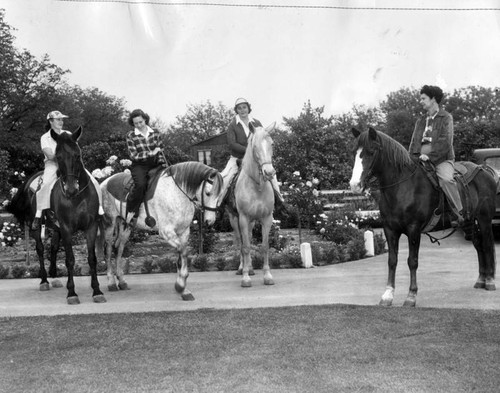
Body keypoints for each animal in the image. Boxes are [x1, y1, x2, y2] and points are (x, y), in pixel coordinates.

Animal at [6, 127, 106, 304]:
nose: (71, 189)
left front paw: (97, 291)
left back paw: (54, 274)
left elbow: (92, 258)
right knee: (40, 249)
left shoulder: (91, 227)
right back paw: (44, 280)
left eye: (77, 155)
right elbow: (70, 259)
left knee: (53, 247)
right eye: (58, 157)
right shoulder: (66, 228)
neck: (78, 197)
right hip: (36, 227)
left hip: (56, 227)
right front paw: (72, 293)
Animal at [98, 161, 223, 298]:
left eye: (220, 194)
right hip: (109, 223)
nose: (210, 221)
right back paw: (111, 283)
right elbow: (184, 252)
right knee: (108, 250)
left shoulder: (183, 232)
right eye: (208, 193)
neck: (176, 193)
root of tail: (105, 182)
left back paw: (121, 281)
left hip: (125, 225)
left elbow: (181, 255)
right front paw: (181, 286)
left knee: (118, 249)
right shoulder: (166, 232)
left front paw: (183, 288)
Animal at [224, 124, 276, 286]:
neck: (257, 186)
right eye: (254, 146)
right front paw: (245, 278)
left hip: (252, 222)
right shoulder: (243, 218)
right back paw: (242, 268)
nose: (269, 172)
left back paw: (251, 267)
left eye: (272, 144)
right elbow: (245, 247)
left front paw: (267, 276)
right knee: (240, 242)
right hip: (234, 220)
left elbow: (264, 246)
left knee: (248, 238)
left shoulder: (266, 218)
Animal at [350, 126, 498, 306]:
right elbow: (392, 261)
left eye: (371, 152)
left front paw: (411, 296)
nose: (354, 185)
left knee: (487, 245)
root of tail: (485, 171)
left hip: (484, 220)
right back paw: (481, 280)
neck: (403, 187)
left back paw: (489, 281)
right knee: (479, 245)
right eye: (355, 152)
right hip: (469, 222)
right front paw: (387, 295)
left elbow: (412, 261)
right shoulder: (390, 230)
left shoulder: (413, 230)